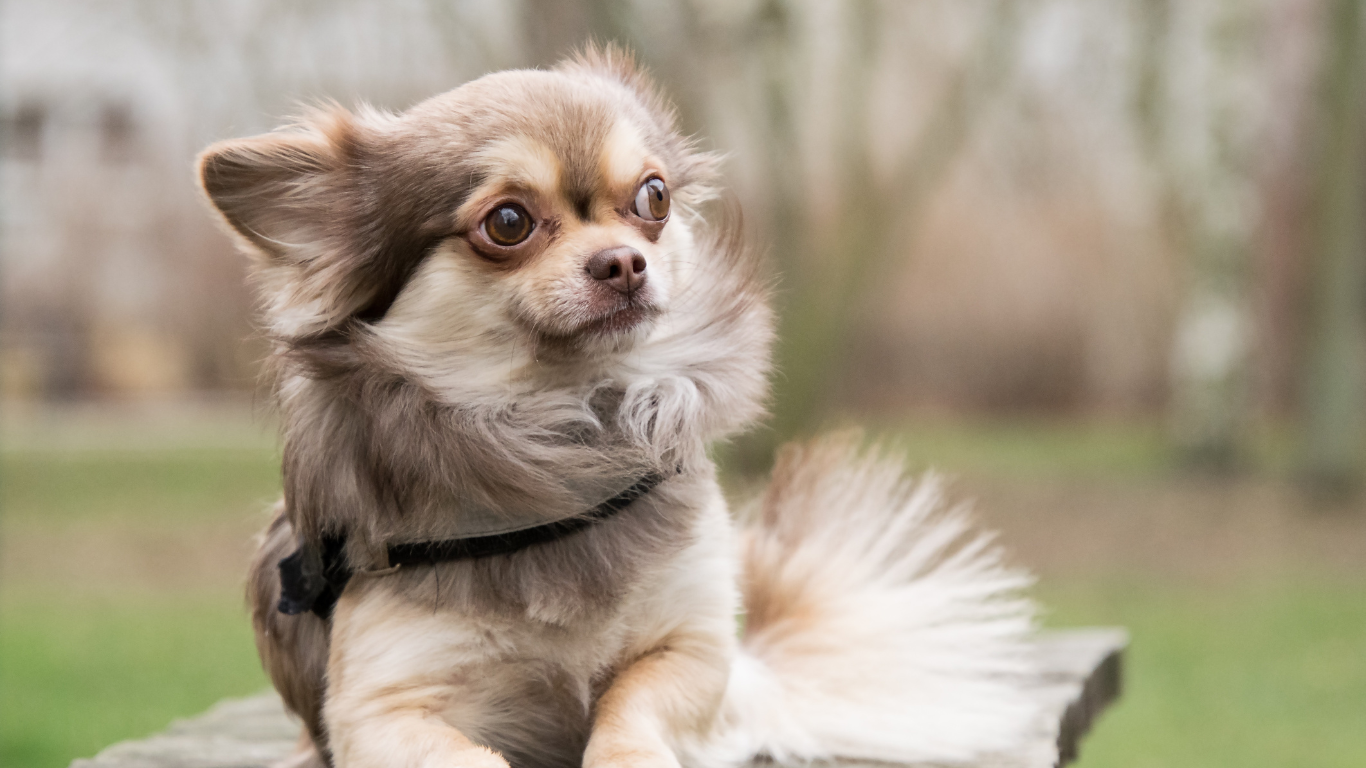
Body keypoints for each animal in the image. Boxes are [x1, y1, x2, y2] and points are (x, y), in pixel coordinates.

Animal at [195, 47, 1043, 765]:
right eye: (508, 222)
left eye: (653, 197)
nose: (624, 261)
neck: (567, 427)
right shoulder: (383, 707)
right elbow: (467, 756)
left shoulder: (693, 647)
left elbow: (631, 707)